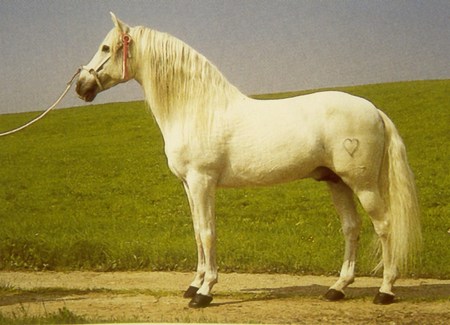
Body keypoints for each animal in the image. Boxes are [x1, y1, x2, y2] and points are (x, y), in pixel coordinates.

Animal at [75, 12, 420, 306]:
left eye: (106, 47)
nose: (80, 85)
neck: (197, 109)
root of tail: (373, 110)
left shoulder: (202, 182)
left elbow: (208, 233)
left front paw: (205, 292)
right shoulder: (189, 185)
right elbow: (197, 232)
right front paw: (193, 285)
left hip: (363, 184)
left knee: (384, 225)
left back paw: (385, 291)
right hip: (337, 182)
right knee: (351, 227)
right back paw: (337, 289)